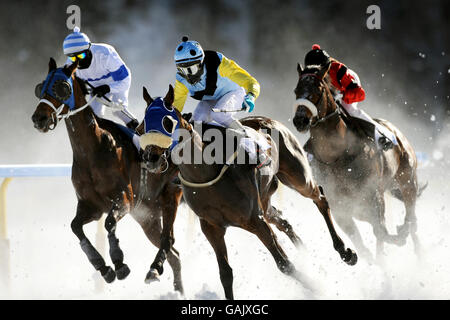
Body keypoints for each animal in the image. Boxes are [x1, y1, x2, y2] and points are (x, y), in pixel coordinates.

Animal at [30, 58, 184, 292]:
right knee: (175, 255)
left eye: (62, 87)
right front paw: (103, 268)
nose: (39, 118)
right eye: (41, 87)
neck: (91, 152)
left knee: (170, 241)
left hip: (169, 199)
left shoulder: (125, 199)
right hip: (147, 218)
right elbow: (76, 227)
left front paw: (119, 263)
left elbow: (110, 223)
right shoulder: (90, 206)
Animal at [139, 85, 356, 300]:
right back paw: (307, 254)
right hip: (266, 199)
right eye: (142, 126)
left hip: (298, 176)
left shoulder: (255, 220)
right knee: (281, 218)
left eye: (167, 122)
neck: (205, 172)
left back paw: (345, 252)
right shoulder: (211, 227)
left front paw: (317, 287)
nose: (151, 158)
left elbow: (284, 263)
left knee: (320, 198)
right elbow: (225, 273)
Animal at [292, 63, 426, 262]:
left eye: (317, 90)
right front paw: (351, 254)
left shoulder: (374, 196)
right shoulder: (340, 207)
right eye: (296, 91)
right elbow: (364, 245)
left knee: (411, 218)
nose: (300, 120)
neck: (335, 155)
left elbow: (381, 232)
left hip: (407, 180)